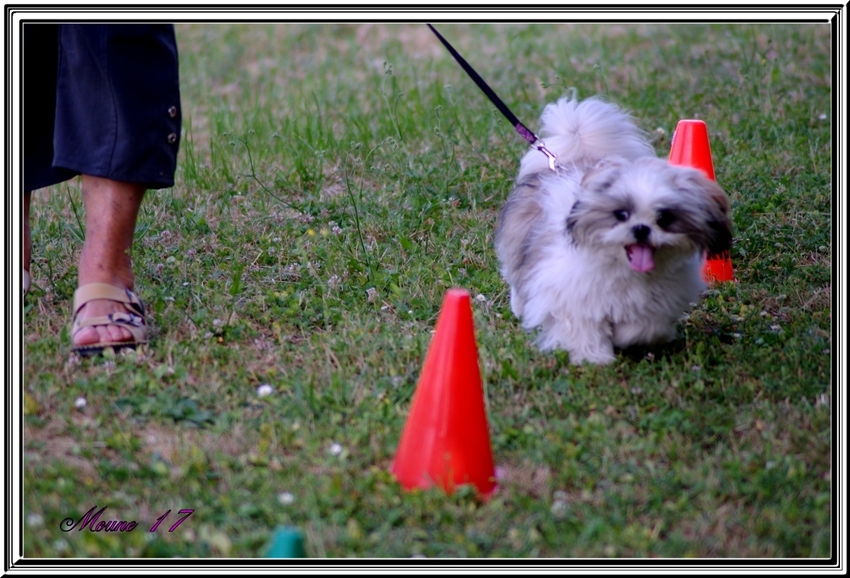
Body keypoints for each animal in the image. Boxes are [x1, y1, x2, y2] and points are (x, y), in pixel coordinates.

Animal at [494, 96, 732, 362]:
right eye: (621, 214)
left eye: (664, 218)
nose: (641, 229)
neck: (627, 271)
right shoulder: (570, 294)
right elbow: (582, 327)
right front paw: (594, 358)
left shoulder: (660, 300)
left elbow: (644, 326)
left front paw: (626, 338)